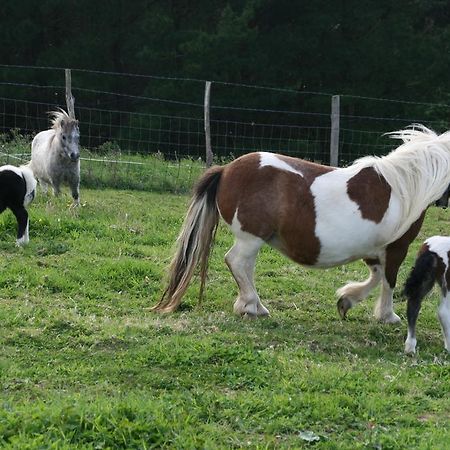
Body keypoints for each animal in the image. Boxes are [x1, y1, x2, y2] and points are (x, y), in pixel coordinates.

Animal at [153, 125, 450, 322]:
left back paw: (250, 305)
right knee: (236, 261)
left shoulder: (375, 250)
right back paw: (253, 306)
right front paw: (387, 316)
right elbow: (388, 280)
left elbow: (376, 276)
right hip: (251, 237)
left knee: (244, 266)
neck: (404, 186)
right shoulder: (396, 248)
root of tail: (226, 170)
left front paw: (346, 301)